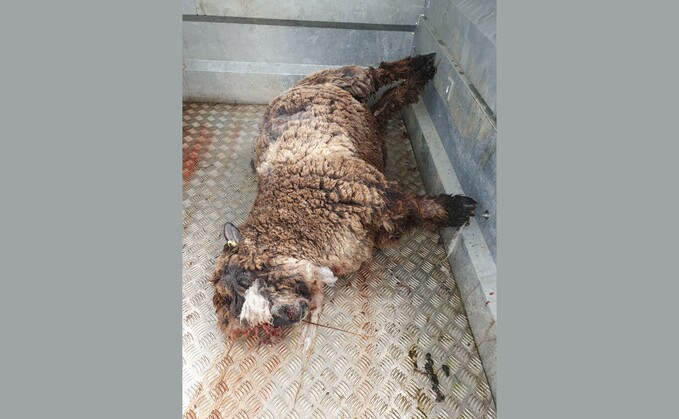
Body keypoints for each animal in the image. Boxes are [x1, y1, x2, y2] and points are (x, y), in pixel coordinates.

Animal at [210, 53, 476, 342]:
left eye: (245, 279)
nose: (281, 319)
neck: (294, 222)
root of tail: (287, 92)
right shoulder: (375, 230)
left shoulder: (373, 193)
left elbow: (417, 206)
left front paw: (456, 208)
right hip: (365, 121)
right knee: (385, 104)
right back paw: (411, 84)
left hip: (345, 78)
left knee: (378, 73)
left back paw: (419, 66)